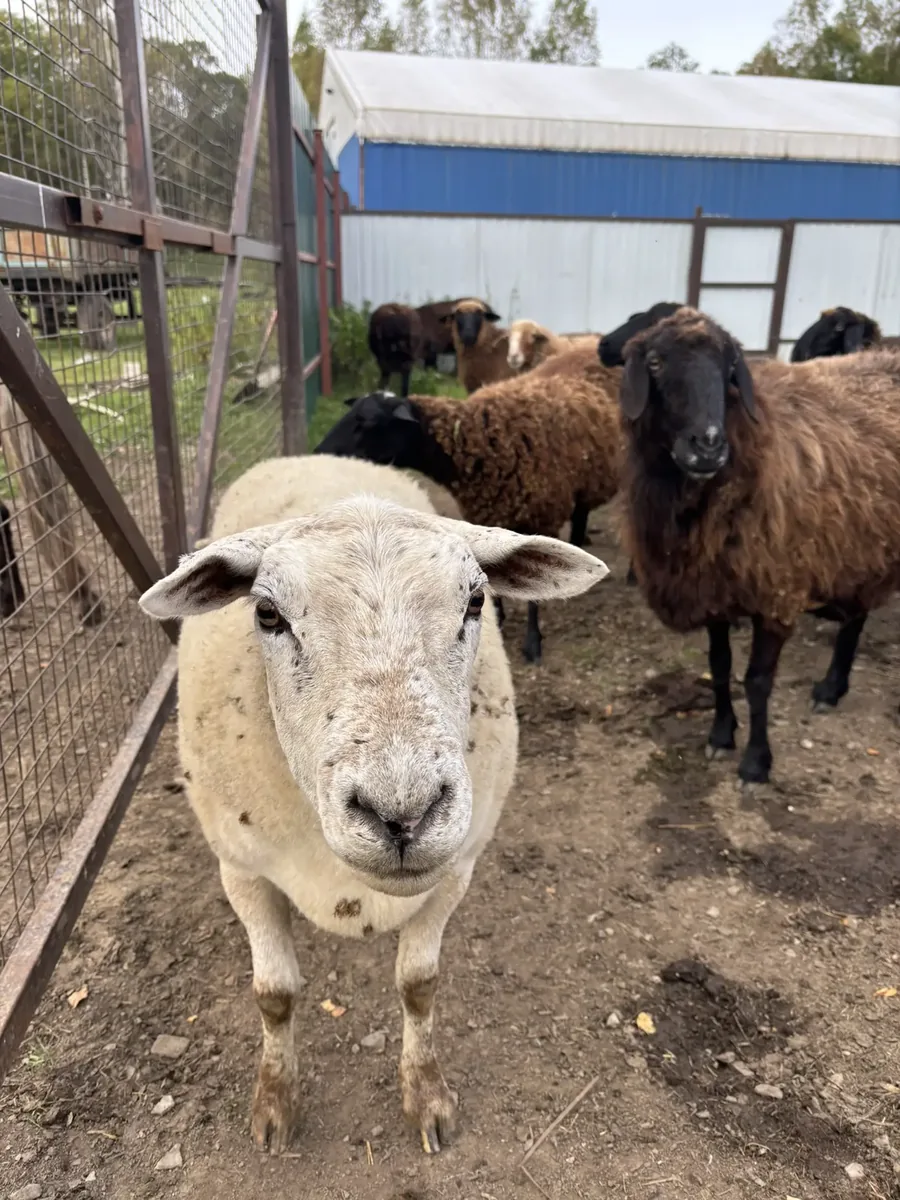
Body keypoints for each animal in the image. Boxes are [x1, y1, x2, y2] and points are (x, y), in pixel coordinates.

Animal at [138, 453, 607, 1156]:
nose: (404, 814)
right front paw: (275, 1104)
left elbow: (419, 986)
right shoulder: (242, 870)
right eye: (267, 614)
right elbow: (273, 995)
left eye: (475, 601)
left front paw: (427, 1096)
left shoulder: (457, 868)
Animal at [315, 343, 622, 663]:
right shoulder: (489, 512)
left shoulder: (541, 515)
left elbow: (532, 595)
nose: (320, 450)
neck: (475, 440)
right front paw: (498, 619)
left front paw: (533, 641)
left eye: (369, 422)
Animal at [615, 305, 900, 786]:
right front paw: (720, 734)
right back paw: (832, 688)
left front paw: (755, 762)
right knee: (856, 616)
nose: (708, 446)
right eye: (654, 362)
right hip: (862, 541)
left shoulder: (777, 591)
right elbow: (719, 666)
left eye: (730, 367)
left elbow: (757, 681)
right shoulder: (712, 588)